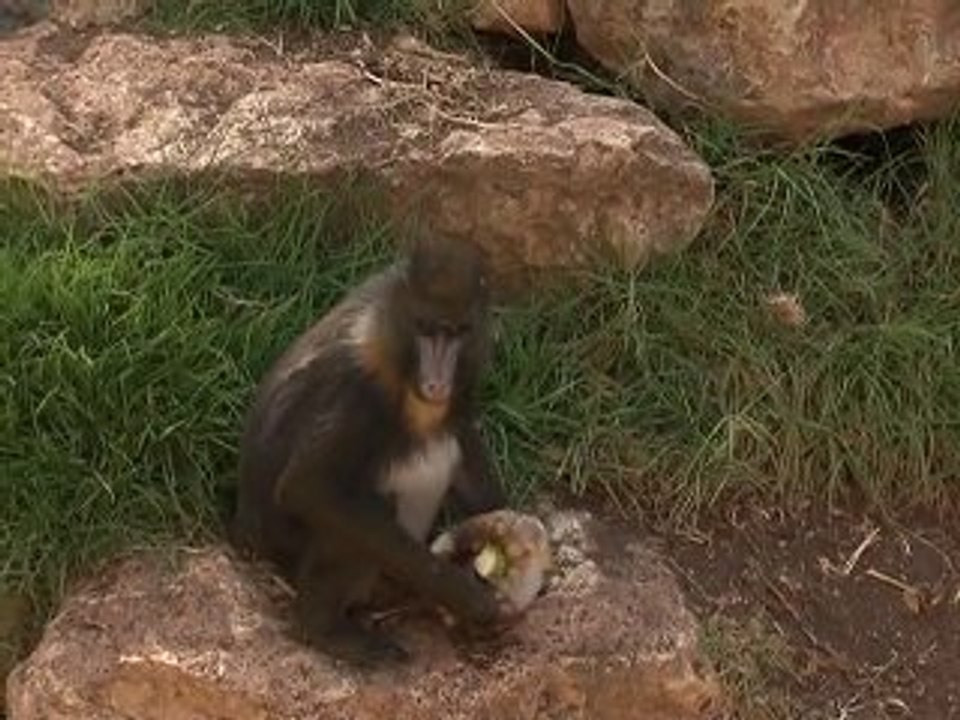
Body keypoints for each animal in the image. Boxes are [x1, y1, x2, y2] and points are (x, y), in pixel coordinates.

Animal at [231, 235, 511, 668]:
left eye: (458, 332)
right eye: (425, 329)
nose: (437, 383)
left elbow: (460, 434)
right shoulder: (355, 390)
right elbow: (309, 487)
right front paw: (470, 598)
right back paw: (327, 628)